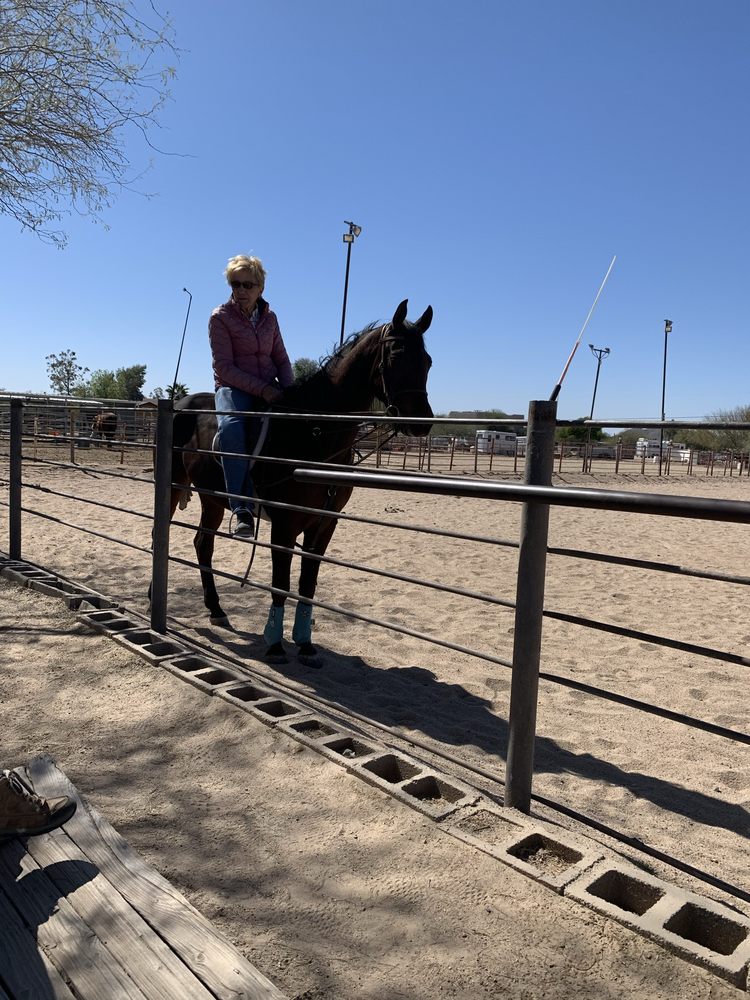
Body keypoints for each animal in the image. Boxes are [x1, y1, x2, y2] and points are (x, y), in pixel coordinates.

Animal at [169, 299, 434, 662]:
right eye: (396, 355)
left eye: (428, 361)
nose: (422, 423)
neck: (312, 433)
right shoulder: (284, 525)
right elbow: (281, 583)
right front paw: (275, 643)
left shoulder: (323, 524)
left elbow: (308, 584)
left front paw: (305, 643)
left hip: (212, 501)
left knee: (202, 545)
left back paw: (216, 609)